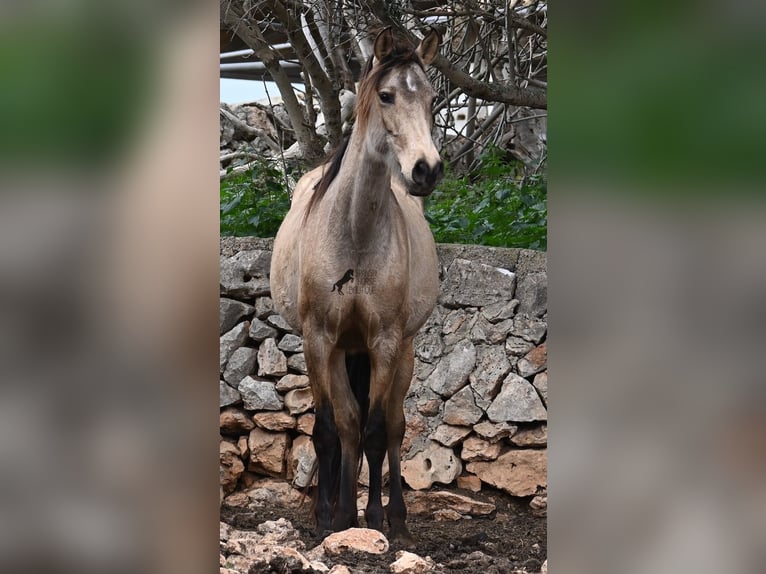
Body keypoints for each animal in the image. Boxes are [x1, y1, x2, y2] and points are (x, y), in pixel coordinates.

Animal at [270, 27, 442, 544]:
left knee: (392, 428)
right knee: (346, 424)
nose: (426, 169)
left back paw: (393, 516)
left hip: (398, 350)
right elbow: (331, 428)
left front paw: (375, 517)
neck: (354, 233)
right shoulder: (319, 339)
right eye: (386, 95)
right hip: (342, 351)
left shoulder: (384, 340)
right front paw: (330, 516)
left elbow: (375, 430)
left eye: (431, 98)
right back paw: (340, 509)